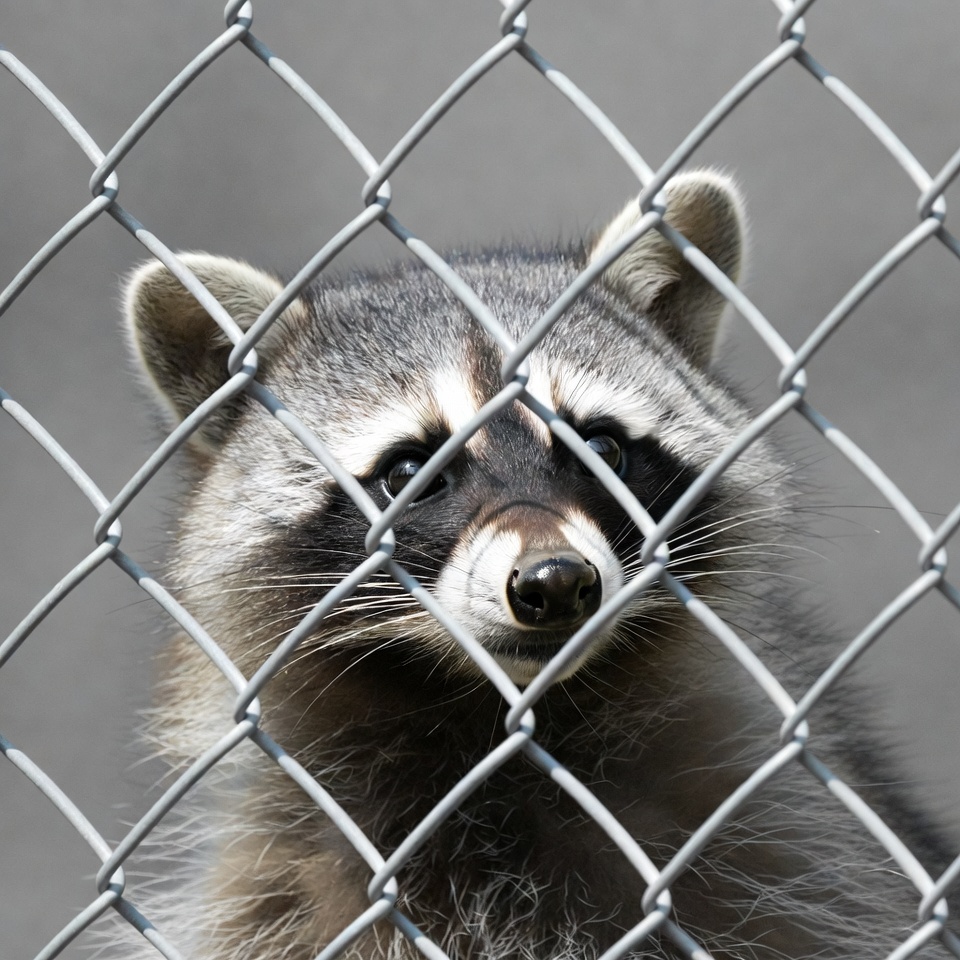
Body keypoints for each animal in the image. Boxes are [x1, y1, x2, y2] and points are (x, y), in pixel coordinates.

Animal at [121, 170, 947, 960]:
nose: (557, 583)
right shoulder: (278, 883)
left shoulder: (793, 851)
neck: (496, 725)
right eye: (411, 471)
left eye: (600, 447)